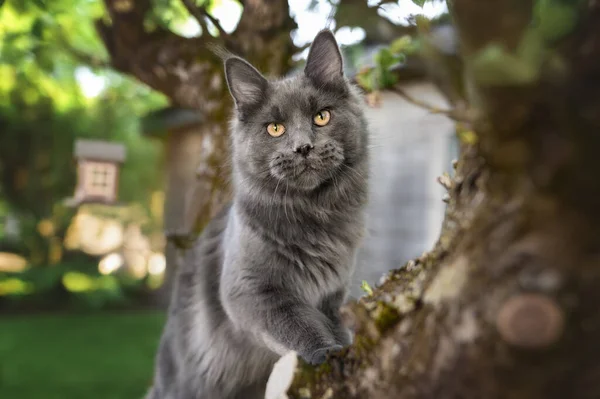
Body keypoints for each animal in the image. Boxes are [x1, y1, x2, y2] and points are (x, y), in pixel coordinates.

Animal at [146, 28, 370, 399]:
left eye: (321, 116)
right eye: (275, 128)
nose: (303, 147)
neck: (313, 216)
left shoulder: (333, 294)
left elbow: (335, 324)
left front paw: (344, 346)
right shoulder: (253, 293)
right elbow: (300, 325)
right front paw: (326, 352)